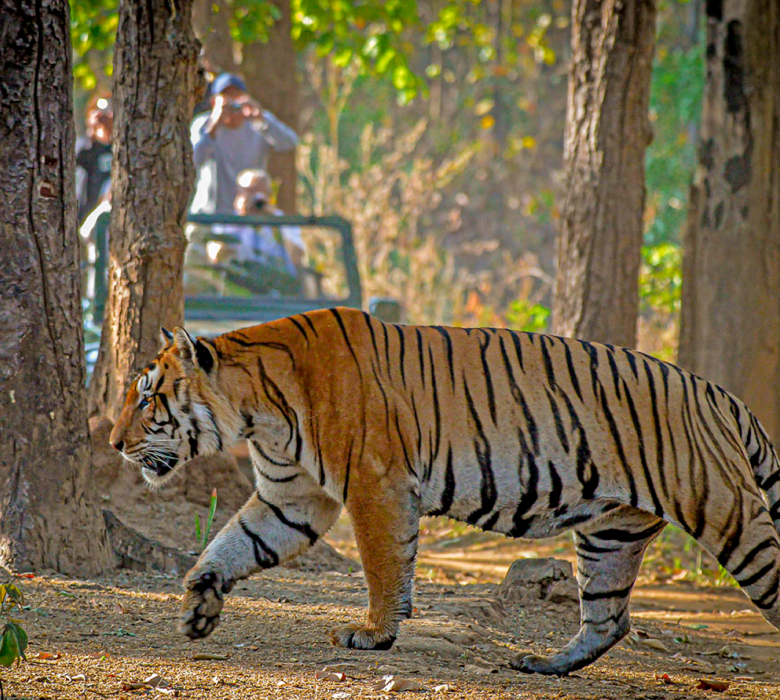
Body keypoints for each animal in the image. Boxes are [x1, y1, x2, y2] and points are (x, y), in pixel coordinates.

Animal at [109, 307, 780, 675]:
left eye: (147, 398)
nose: (112, 442)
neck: (256, 409)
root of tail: (722, 394)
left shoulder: (374, 484)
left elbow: (383, 566)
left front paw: (374, 634)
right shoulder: (292, 497)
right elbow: (231, 544)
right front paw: (199, 605)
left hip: (729, 515)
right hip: (610, 532)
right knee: (607, 619)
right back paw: (543, 665)